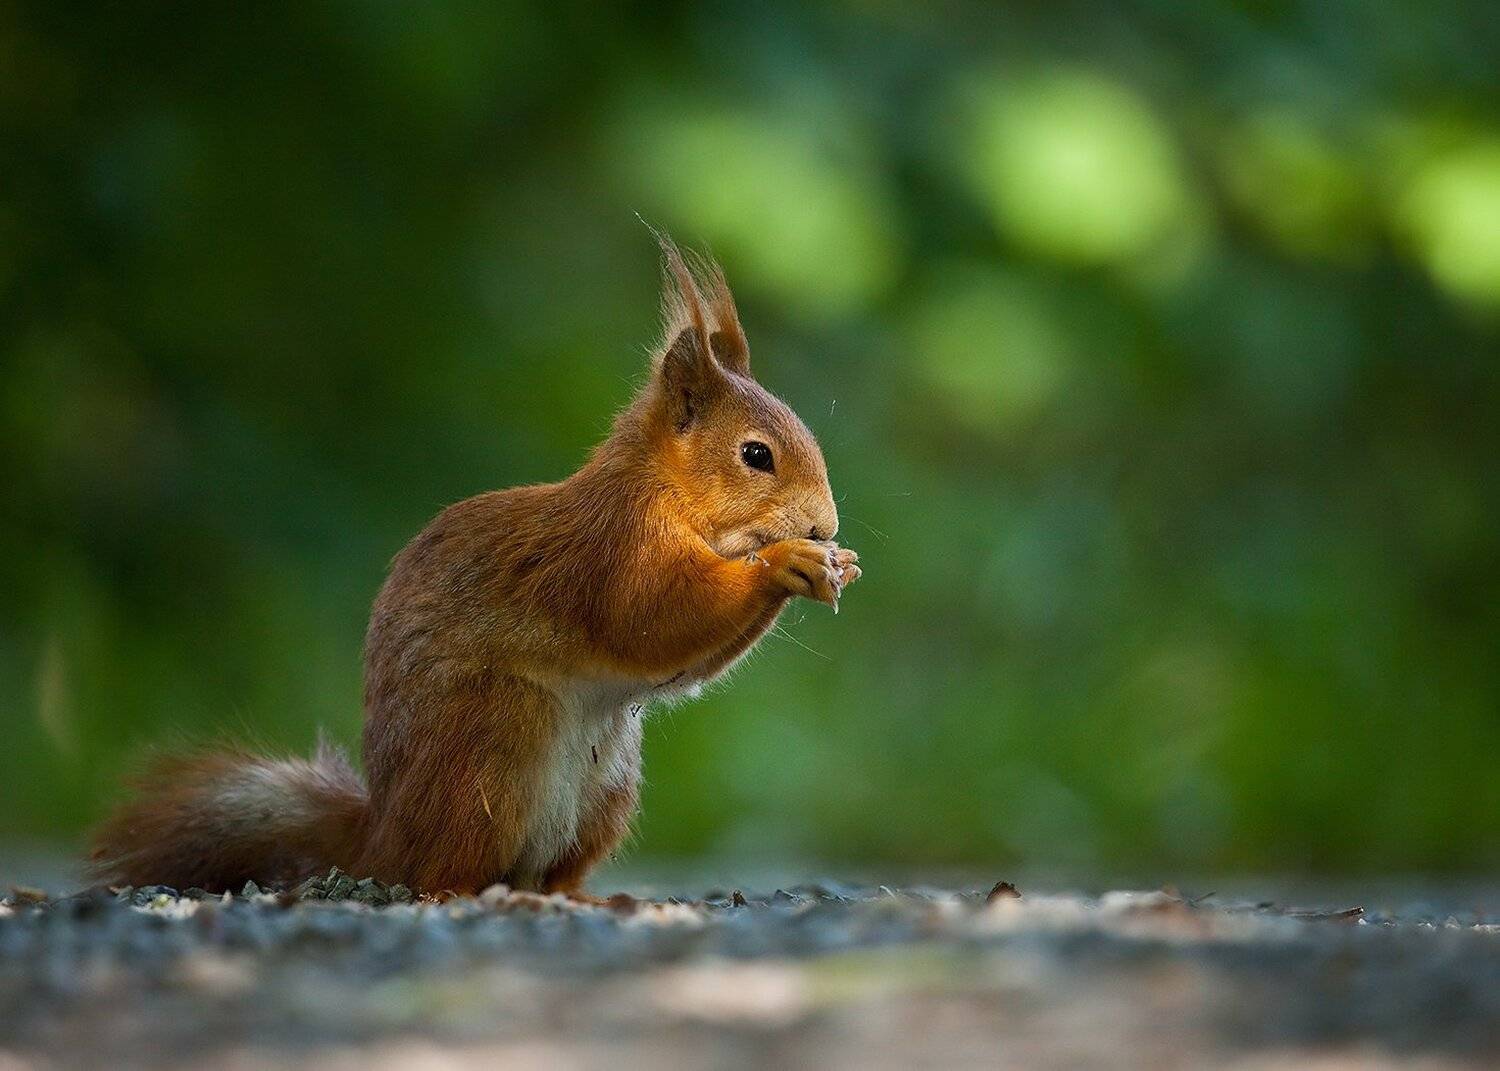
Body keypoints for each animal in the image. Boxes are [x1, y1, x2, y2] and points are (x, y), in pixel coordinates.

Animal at [89, 239, 860, 896]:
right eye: (756, 454)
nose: (825, 526)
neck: (663, 491)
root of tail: (381, 838)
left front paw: (834, 563)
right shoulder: (614, 550)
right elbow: (652, 617)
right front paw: (783, 563)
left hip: (605, 787)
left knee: (550, 871)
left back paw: (588, 897)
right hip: (490, 749)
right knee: (442, 872)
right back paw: (467, 889)